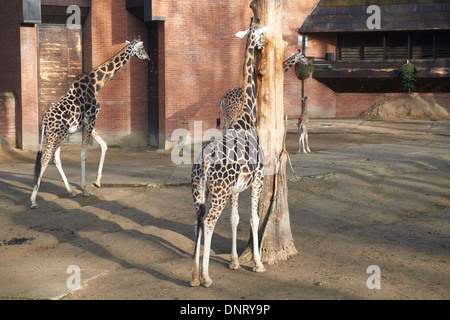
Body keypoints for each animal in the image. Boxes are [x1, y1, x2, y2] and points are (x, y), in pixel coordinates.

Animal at [29, 37, 150, 209]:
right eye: (142, 48)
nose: (148, 57)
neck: (98, 84)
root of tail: (45, 120)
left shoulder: (88, 124)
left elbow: (104, 145)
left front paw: (97, 181)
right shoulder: (91, 119)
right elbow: (84, 154)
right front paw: (85, 189)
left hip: (57, 135)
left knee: (55, 159)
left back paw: (71, 191)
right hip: (56, 135)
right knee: (45, 159)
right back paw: (33, 200)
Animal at [189, 18, 268, 288]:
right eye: (260, 34)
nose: (265, 44)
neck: (248, 115)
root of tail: (204, 164)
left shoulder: (236, 188)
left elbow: (235, 219)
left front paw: (234, 262)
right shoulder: (258, 180)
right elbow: (254, 218)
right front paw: (257, 264)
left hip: (200, 190)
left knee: (199, 219)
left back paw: (194, 277)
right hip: (219, 192)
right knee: (210, 222)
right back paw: (206, 277)